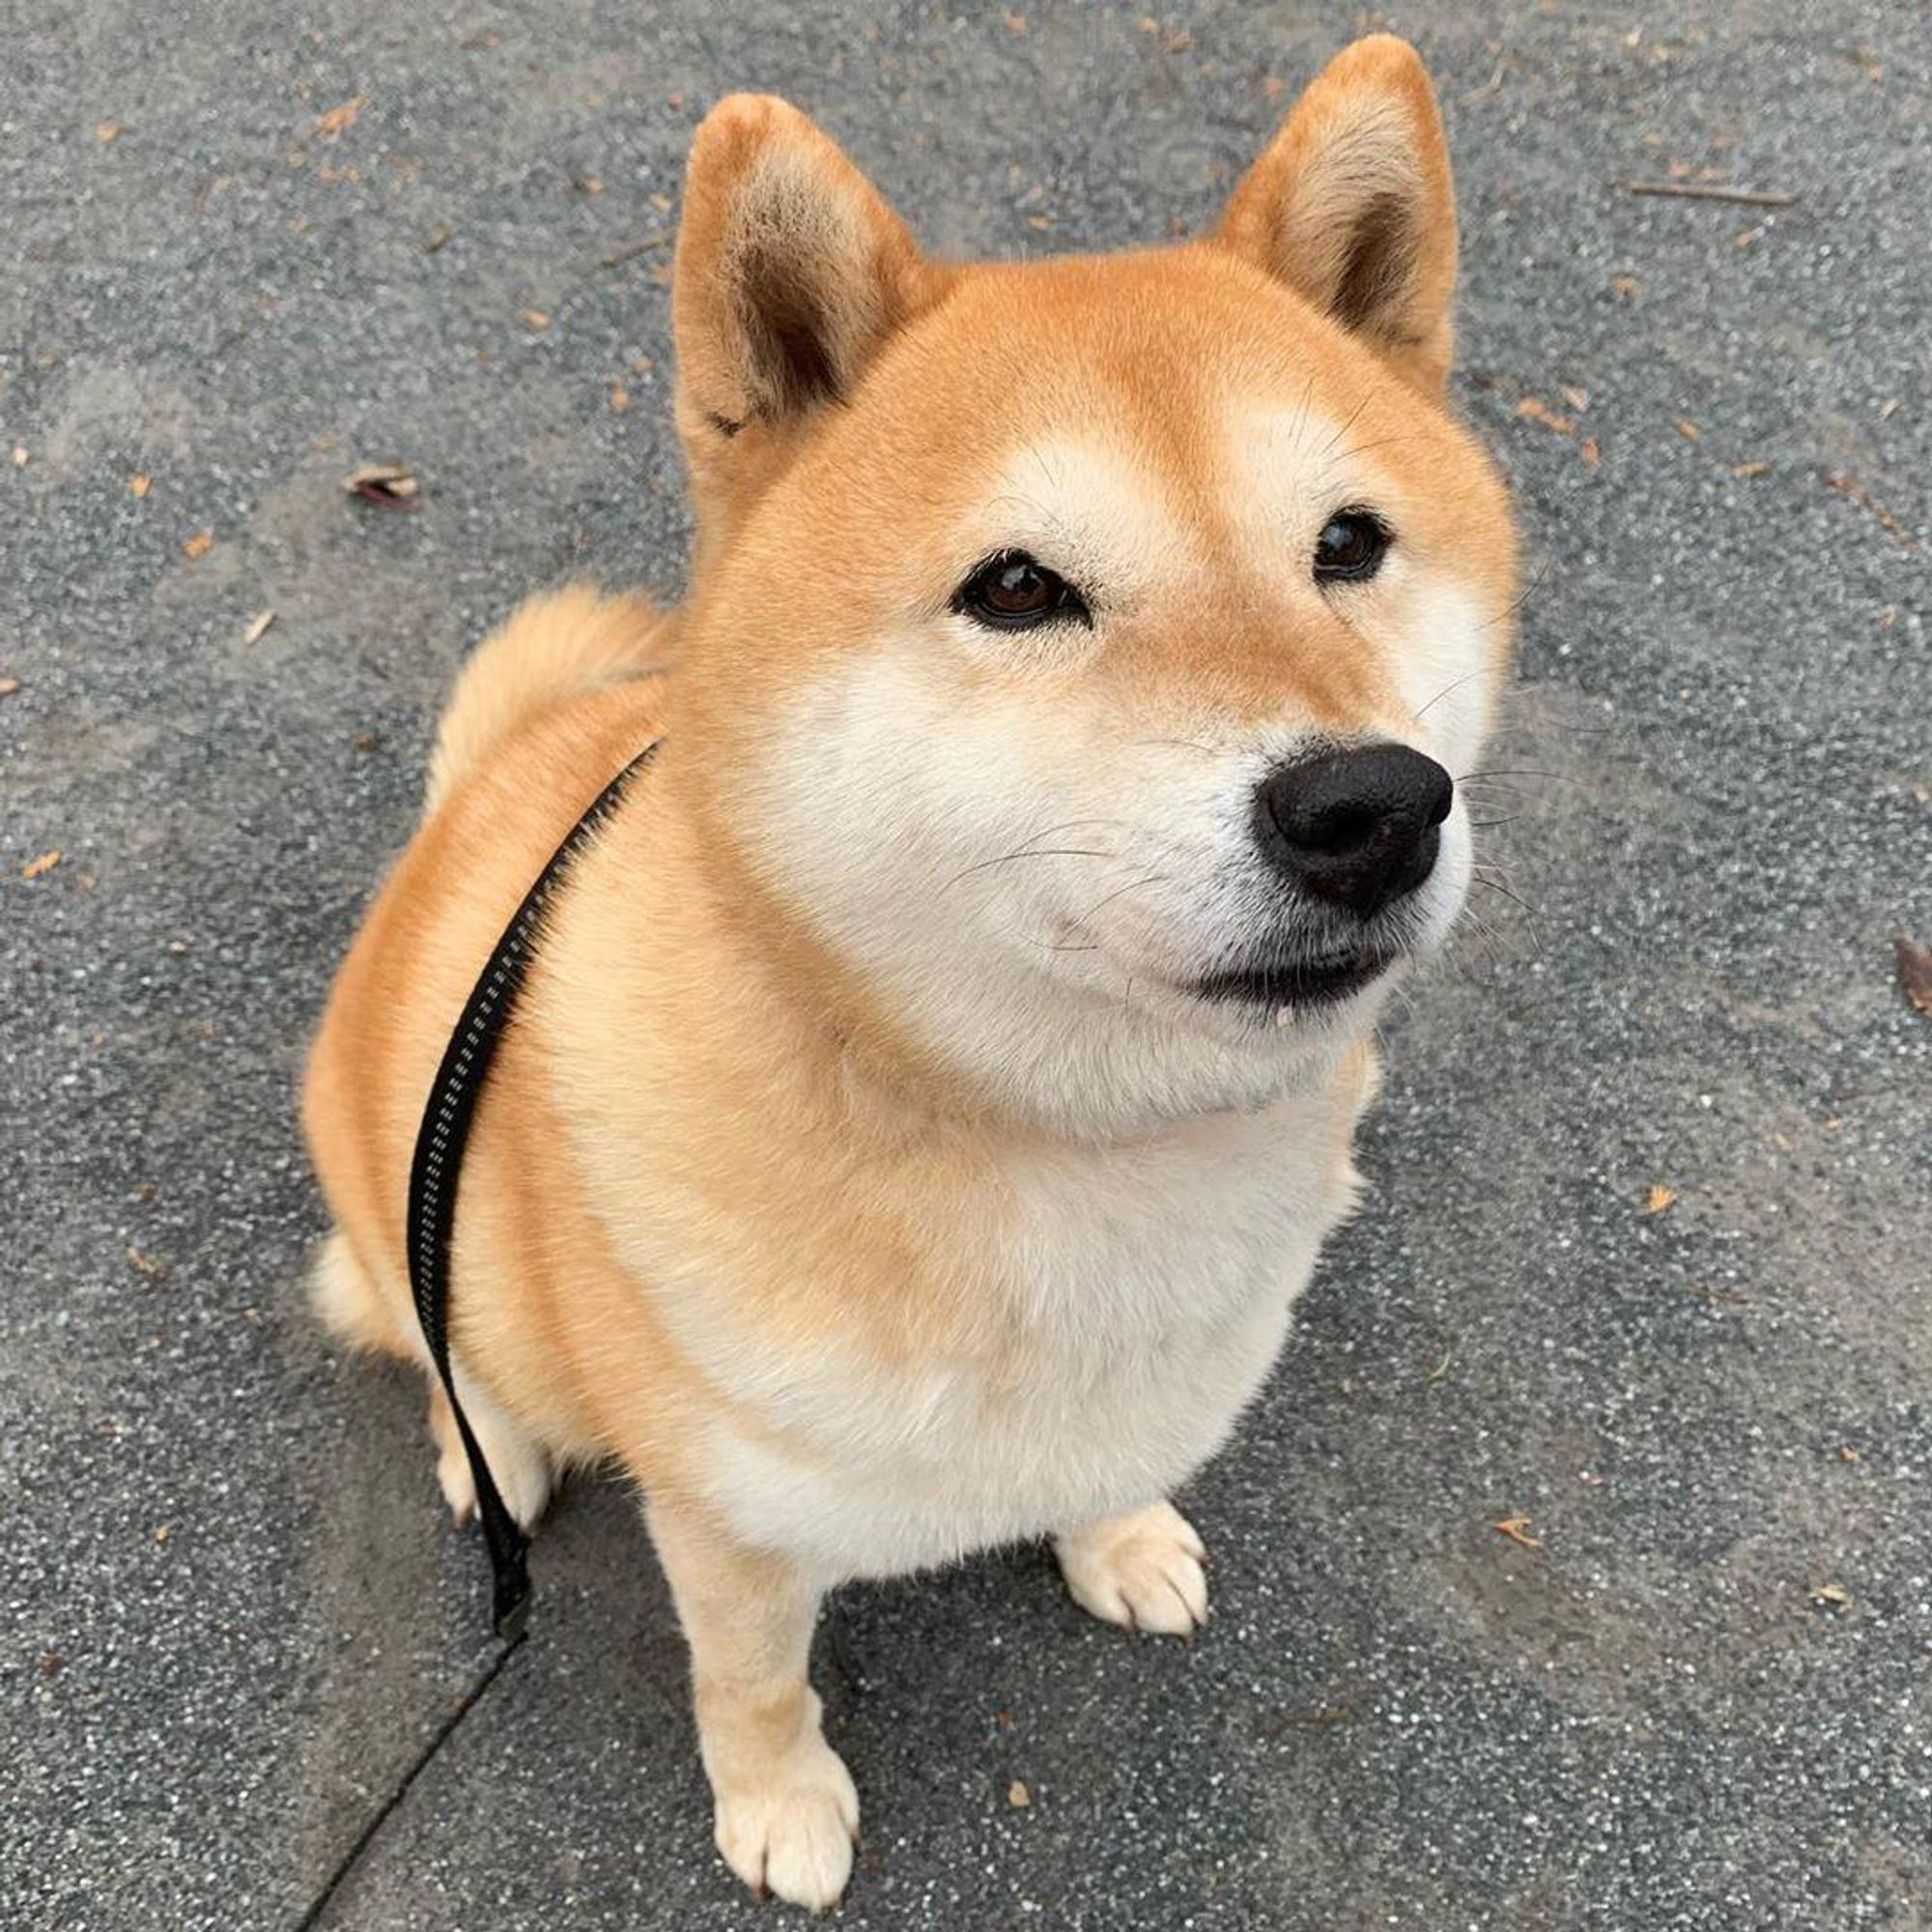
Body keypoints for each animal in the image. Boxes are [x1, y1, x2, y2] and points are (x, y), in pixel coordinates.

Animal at [301, 38, 1515, 1909]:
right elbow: (752, 1683)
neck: (1060, 1148)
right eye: (1016, 588)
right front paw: (781, 1806)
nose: (1373, 810)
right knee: (438, 1350)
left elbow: (1114, 1469)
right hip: (406, 1224)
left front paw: (1119, 1535)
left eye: (1348, 545)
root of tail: (469, 800)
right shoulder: (726, 1526)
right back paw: (488, 1440)